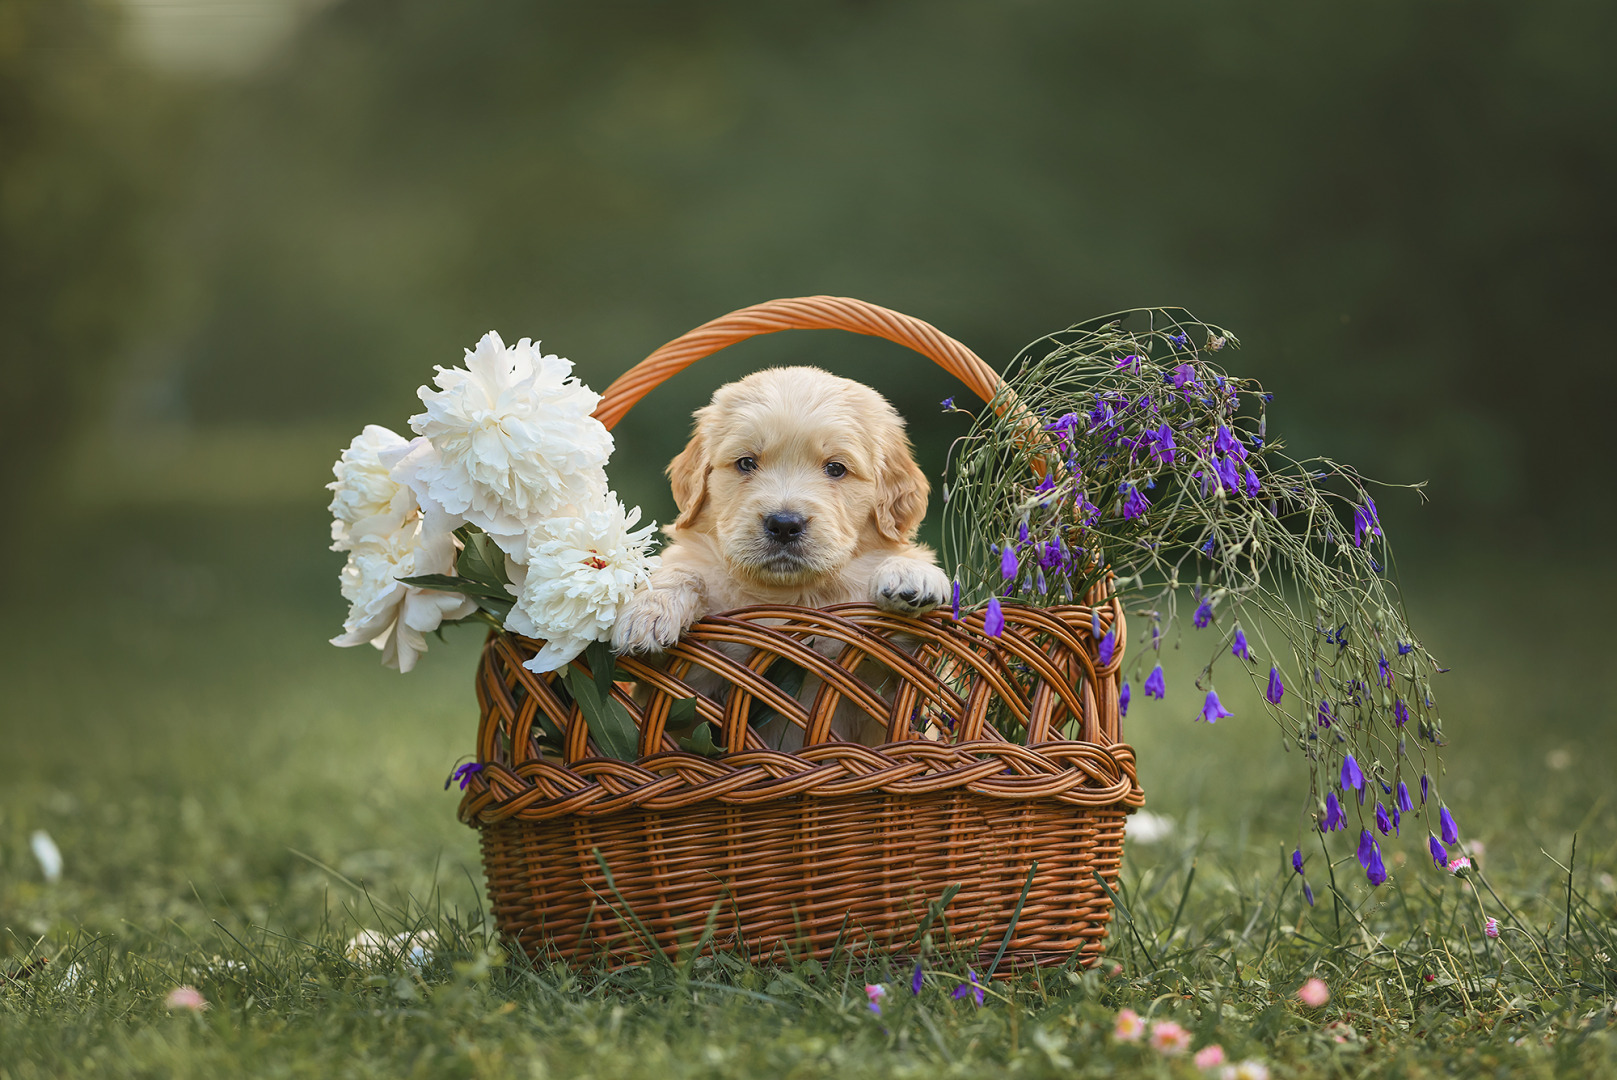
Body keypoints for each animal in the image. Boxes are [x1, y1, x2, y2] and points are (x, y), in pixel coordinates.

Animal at [614, 368, 944, 743]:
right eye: (746, 463)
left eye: (836, 469)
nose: (784, 525)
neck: (787, 594)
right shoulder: (683, 689)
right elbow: (684, 572)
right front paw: (649, 612)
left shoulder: (882, 698)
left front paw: (912, 575)